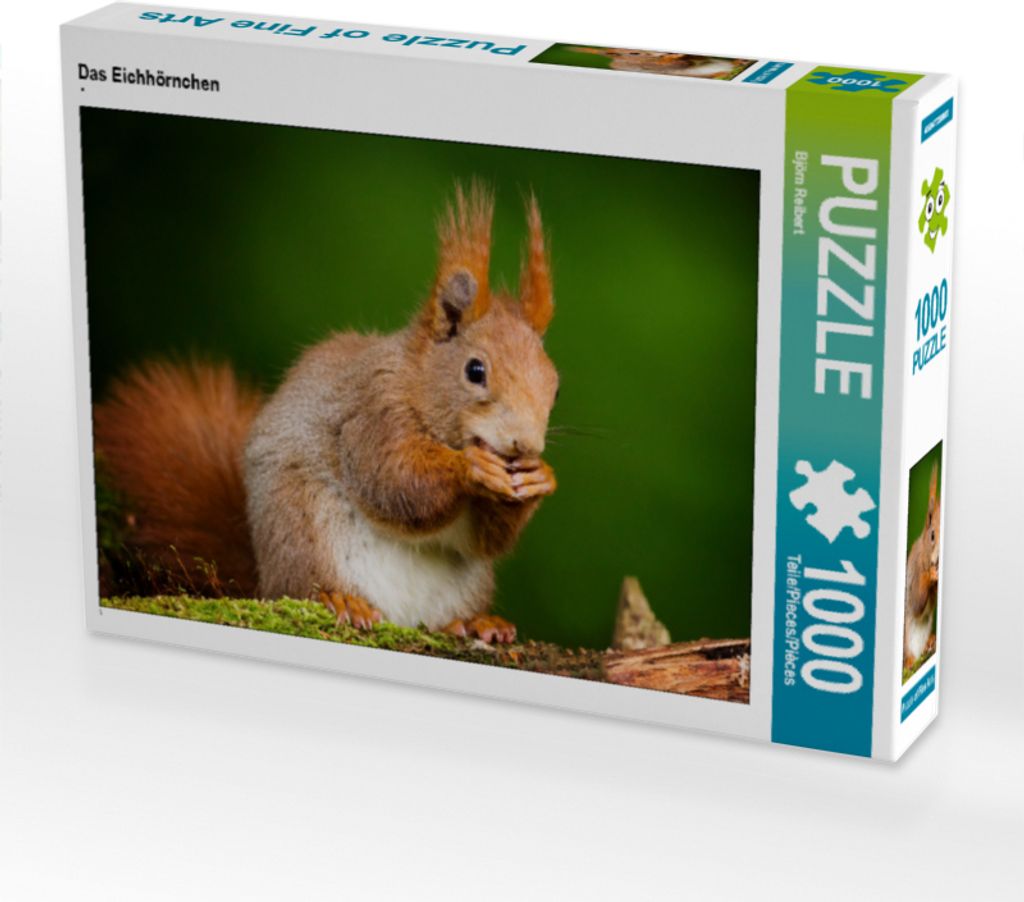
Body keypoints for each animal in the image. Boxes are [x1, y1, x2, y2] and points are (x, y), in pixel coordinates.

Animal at [94, 183, 559, 643]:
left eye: (554, 385)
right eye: (475, 371)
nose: (524, 445)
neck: (417, 382)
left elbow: (488, 540)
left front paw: (541, 477)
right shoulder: (370, 411)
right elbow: (392, 478)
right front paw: (471, 466)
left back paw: (473, 622)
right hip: (305, 531)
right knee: (307, 585)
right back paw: (342, 601)